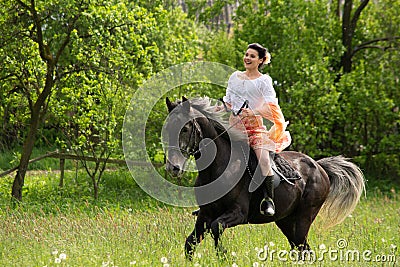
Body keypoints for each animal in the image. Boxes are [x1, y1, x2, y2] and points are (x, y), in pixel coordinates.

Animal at [163, 96, 366, 260]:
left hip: (304, 217)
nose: (173, 167)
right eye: (166, 129)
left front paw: (224, 256)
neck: (216, 169)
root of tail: (320, 167)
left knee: (302, 248)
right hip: (285, 220)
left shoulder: (237, 213)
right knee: (301, 249)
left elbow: (216, 228)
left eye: (185, 128)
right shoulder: (204, 215)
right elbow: (190, 244)